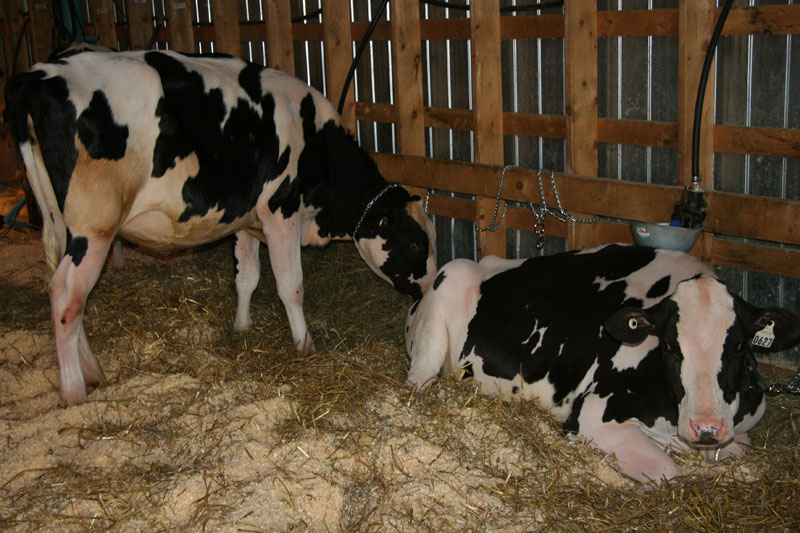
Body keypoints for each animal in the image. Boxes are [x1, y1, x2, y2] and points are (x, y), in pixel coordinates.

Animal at [4, 49, 437, 406]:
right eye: (417, 244)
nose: (429, 288)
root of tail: (40, 73)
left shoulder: (246, 221)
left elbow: (246, 277)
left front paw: (242, 326)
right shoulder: (280, 211)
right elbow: (291, 286)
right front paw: (304, 343)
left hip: (62, 223)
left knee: (61, 288)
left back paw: (93, 370)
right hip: (94, 225)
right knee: (67, 296)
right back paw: (74, 391)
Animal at [404, 244, 800, 483]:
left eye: (738, 347)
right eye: (670, 346)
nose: (706, 428)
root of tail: (489, 261)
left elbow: (736, 450)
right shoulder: (594, 414)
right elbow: (668, 474)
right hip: (449, 286)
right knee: (419, 380)